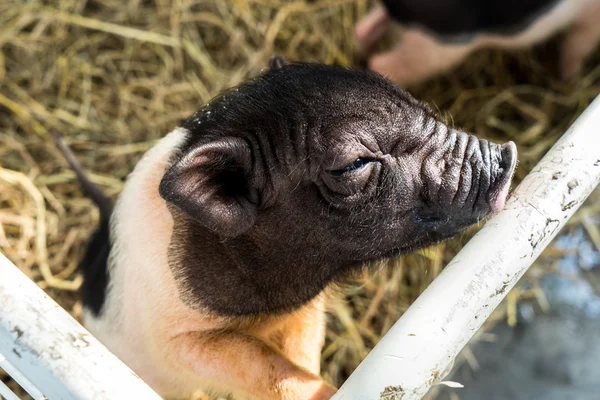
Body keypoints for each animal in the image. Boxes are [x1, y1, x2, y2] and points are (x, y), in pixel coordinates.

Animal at [59, 59, 516, 400]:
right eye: (352, 164)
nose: (507, 156)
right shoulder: (181, 339)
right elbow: (266, 367)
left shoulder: (305, 309)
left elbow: (301, 349)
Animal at [354, 0, 600, 84]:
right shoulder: (591, 19)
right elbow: (577, 45)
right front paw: (569, 80)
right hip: (438, 47)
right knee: (381, 65)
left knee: (363, 30)